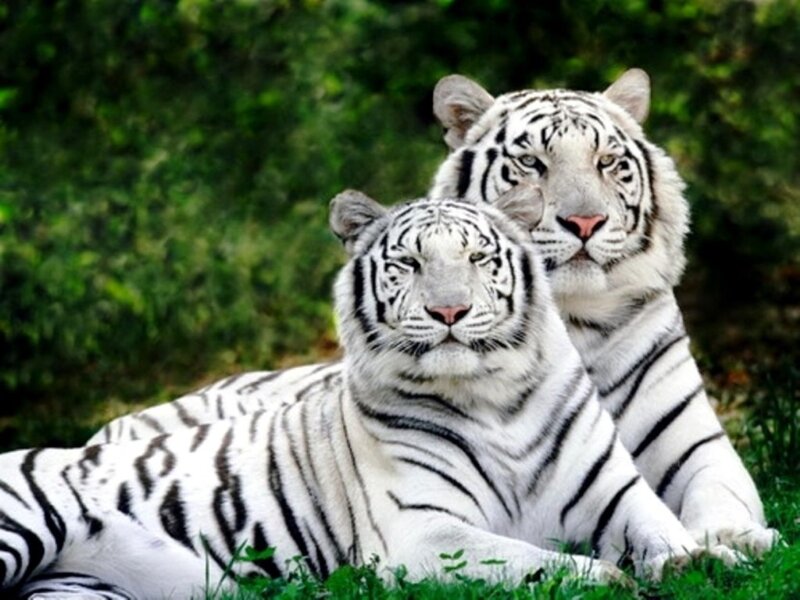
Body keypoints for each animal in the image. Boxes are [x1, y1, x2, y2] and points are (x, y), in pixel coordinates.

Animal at [1, 190, 741, 599]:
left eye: (478, 259)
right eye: (408, 263)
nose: (449, 312)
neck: (495, 398)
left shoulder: (617, 496)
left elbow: (665, 532)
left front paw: (712, 560)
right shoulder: (422, 531)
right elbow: (537, 560)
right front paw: (610, 580)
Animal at [89, 69, 779, 556]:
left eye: (608, 162)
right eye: (531, 163)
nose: (584, 221)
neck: (574, 320)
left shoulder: (697, 446)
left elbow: (722, 496)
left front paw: (738, 540)